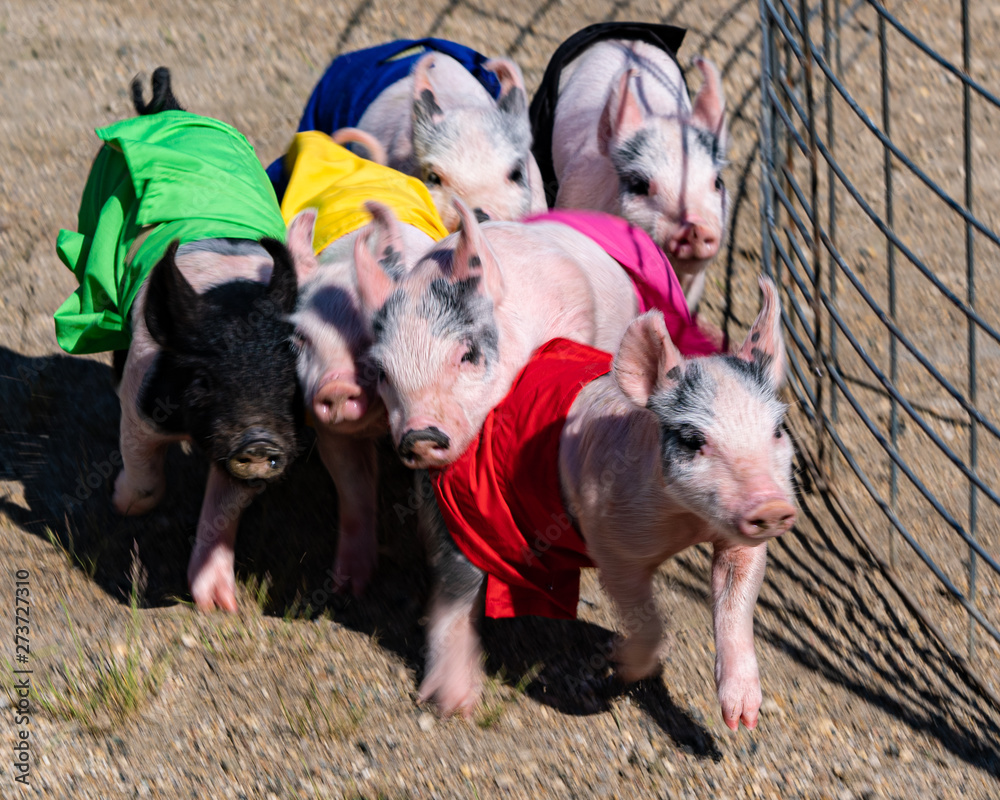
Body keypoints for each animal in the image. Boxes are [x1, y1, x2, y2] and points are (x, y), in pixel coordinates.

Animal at [56, 70, 304, 612]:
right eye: (203, 379)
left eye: (287, 373)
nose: (260, 440)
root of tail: (166, 103)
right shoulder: (141, 399)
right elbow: (142, 462)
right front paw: (124, 505)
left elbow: (223, 507)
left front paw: (220, 606)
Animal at [416, 277, 795, 730]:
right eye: (692, 440)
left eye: (778, 429)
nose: (772, 507)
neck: (686, 522)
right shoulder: (612, 543)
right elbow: (647, 620)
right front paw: (619, 672)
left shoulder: (737, 539)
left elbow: (736, 597)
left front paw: (741, 719)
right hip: (464, 514)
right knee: (452, 591)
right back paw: (456, 706)